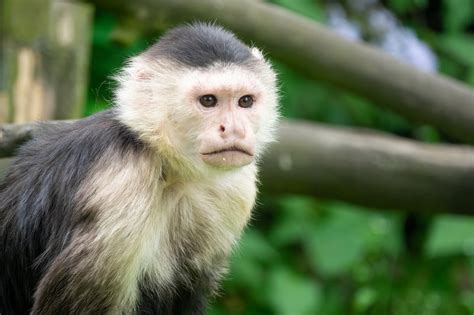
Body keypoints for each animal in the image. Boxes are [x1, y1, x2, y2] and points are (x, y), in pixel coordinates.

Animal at [0, 22, 278, 315]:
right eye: (208, 101)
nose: (234, 129)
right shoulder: (121, 183)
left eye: (245, 101)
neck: (169, 168)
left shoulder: (238, 189)